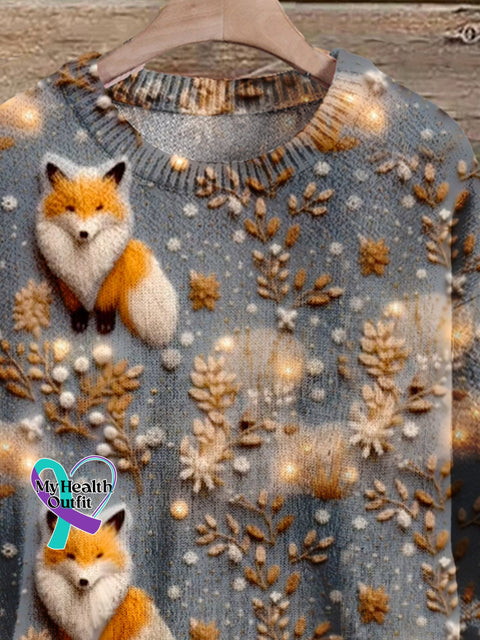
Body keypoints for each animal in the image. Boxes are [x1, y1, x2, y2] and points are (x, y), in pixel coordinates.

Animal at [36, 152, 178, 348]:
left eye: (99, 207)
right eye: (70, 208)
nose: (84, 233)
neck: (85, 260)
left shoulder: (109, 280)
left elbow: (105, 306)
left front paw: (105, 326)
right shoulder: (65, 283)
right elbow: (76, 309)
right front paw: (79, 323)